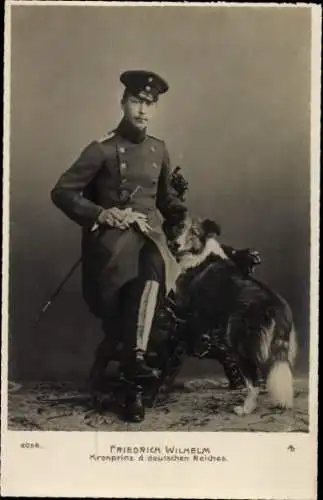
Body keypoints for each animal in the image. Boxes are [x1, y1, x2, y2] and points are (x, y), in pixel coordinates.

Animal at [165, 215, 298, 414]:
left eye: (194, 232)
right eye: (179, 227)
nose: (175, 244)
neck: (201, 253)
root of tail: (274, 305)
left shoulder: (188, 310)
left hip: (240, 344)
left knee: (254, 382)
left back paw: (245, 409)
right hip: (276, 346)